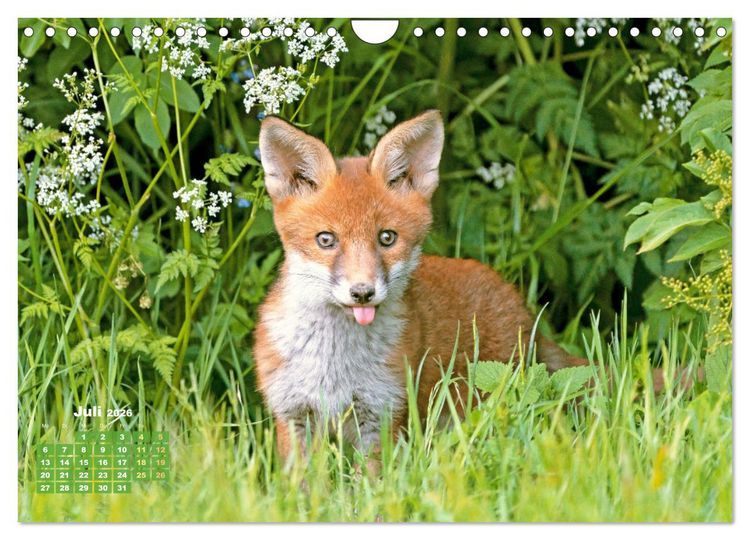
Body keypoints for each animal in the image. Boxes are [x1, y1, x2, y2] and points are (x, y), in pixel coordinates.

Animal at [252, 110, 682, 465]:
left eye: (387, 238)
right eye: (326, 240)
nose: (362, 293)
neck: (335, 364)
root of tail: (523, 311)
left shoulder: (380, 417)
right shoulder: (294, 416)